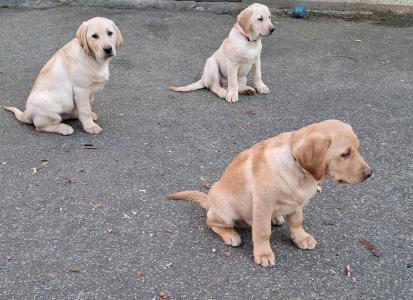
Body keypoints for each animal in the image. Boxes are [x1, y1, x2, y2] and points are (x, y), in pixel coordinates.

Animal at [168, 120, 374, 268]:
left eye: (358, 149)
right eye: (345, 154)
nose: (370, 173)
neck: (299, 170)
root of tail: (209, 201)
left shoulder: (297, 203)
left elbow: (297, 221)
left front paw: (301, 238)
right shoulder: (262, 205)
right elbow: (262, 232)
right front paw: (263, 253)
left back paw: (277, 218)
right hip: (224, 211)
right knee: (212, 223)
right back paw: (230, 234)